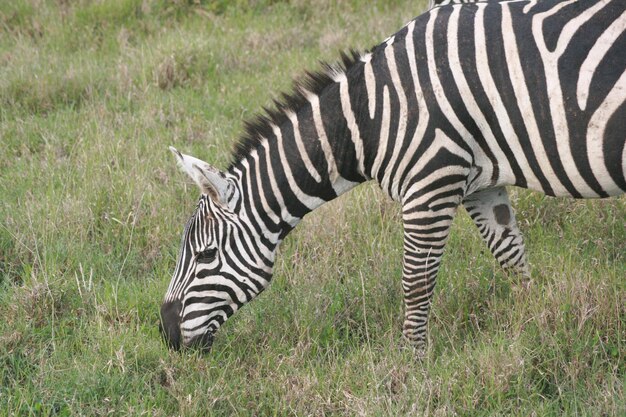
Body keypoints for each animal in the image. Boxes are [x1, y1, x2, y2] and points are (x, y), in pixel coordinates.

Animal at [161, 0, 624, 352]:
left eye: (205, 256)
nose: (165, 334)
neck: (371, 115)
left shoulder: (430, 182)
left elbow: (416, 283)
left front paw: (412, 366)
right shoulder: (481, 184)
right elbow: (510, 255)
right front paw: (535, 322)